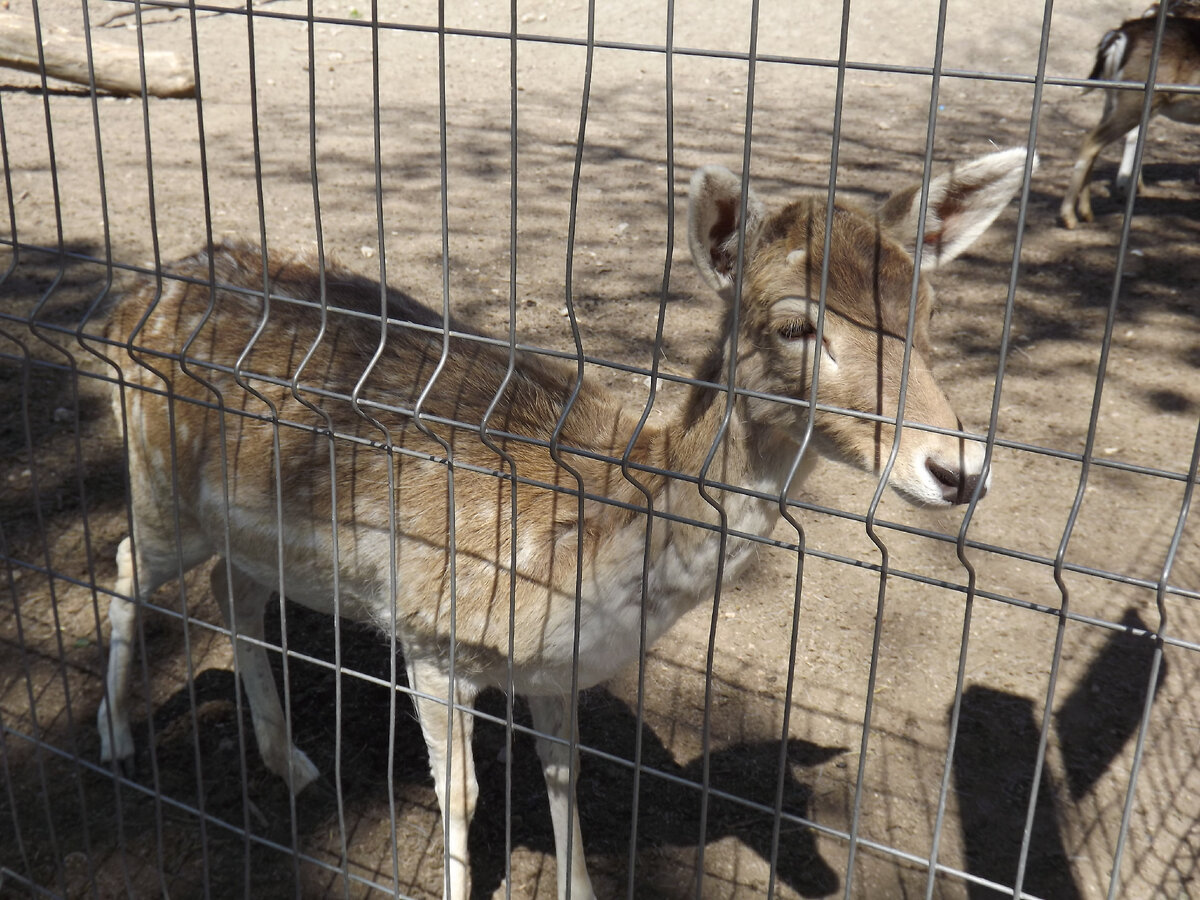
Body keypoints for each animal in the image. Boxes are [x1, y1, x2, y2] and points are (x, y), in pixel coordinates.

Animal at [96, 150, 1032, 900]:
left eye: (931, 312)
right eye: (796, 324)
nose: (958, 470)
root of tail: (133, 292)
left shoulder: (553, 670)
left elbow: (564, 774)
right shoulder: (430, 633)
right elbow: (464, 795)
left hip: (244, 530)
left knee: (233, 589)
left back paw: (286, 761)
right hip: (157, 474)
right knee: (126, 562)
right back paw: (116, 741)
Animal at [1060, 9, 1200, 229]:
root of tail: (1119, 36)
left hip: (1112, 100)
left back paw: (1087, 212)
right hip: (1134, 101)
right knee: (1092, 141)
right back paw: (1068, 216)